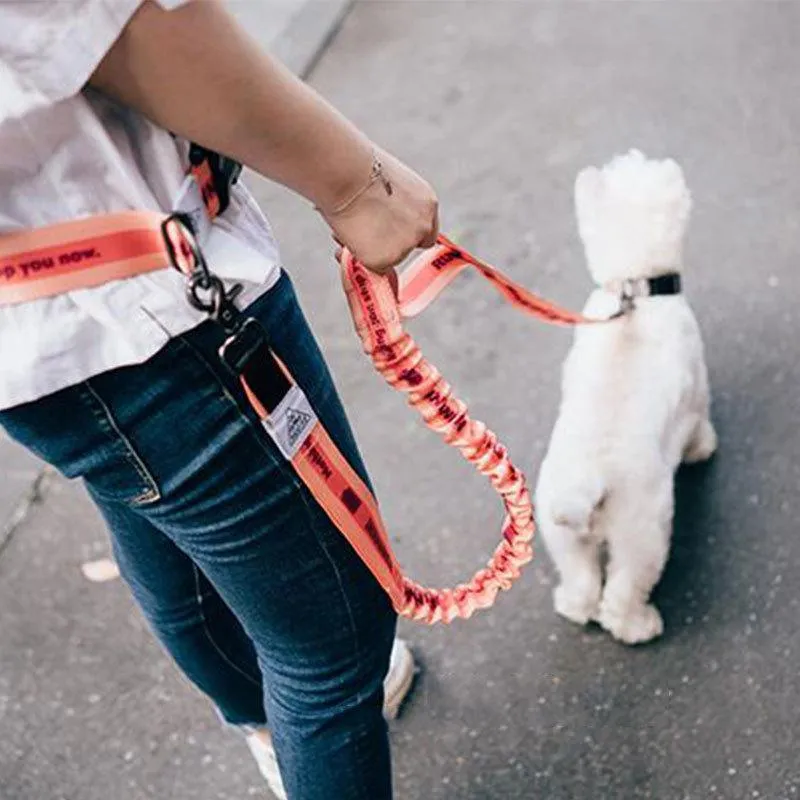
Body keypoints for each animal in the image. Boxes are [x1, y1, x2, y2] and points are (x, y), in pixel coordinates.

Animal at [536, 150, 716, 648]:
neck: (635, 287)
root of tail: (584, 486)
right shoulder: (697, 389)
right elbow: (701, 424)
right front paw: (704, 451)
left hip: (561, 536)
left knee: (582, 585)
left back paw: (570, 604)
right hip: (643, 532)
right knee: (620, 594)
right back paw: (641, 626)